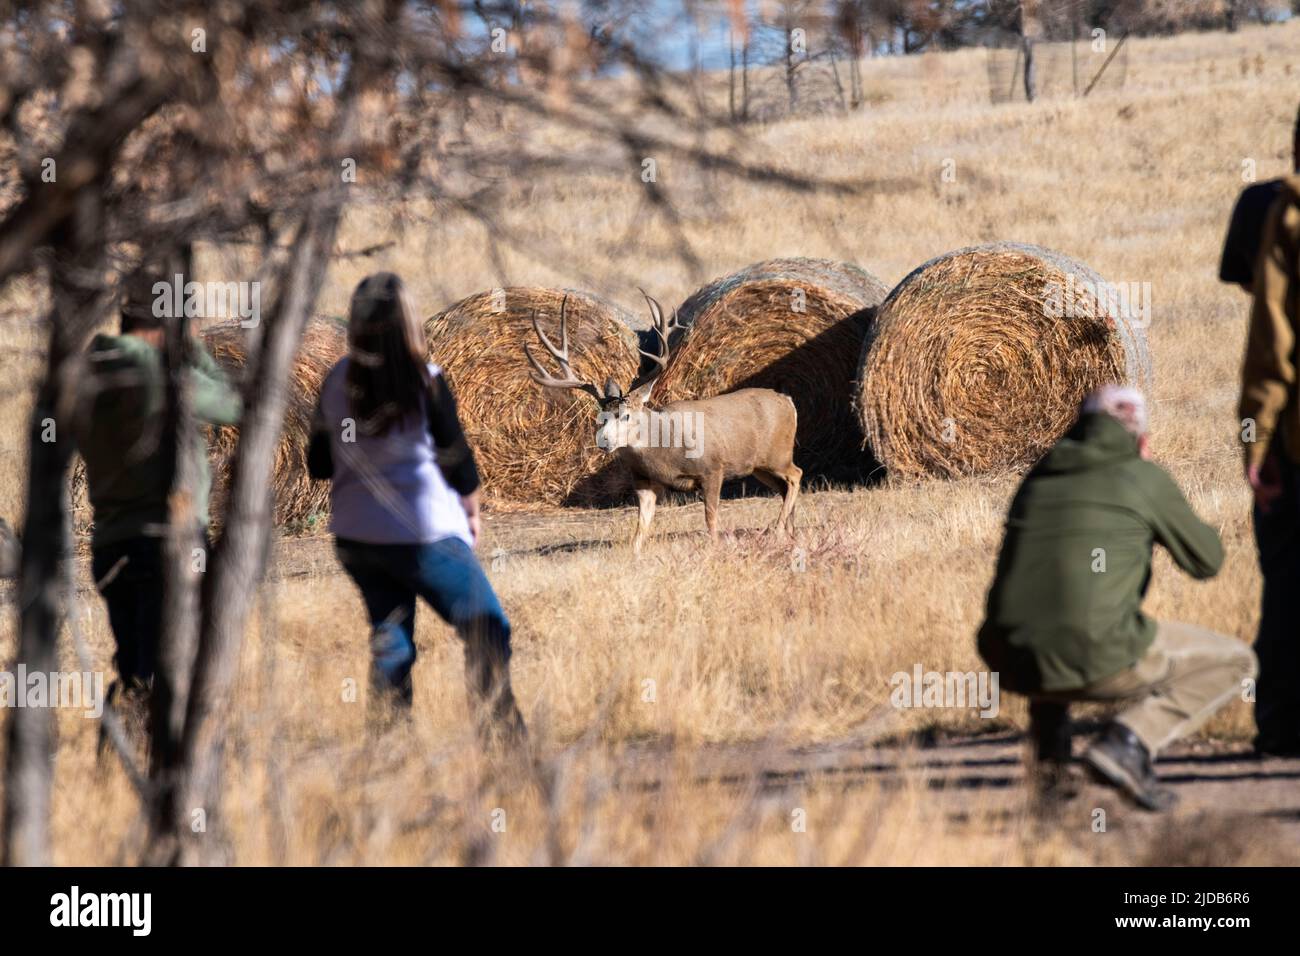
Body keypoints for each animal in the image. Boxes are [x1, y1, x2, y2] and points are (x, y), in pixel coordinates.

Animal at [524, 293, 801, 554]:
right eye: (600, 417)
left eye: (626, 415)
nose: (604, 441)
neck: (664, 448)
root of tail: (787, 400)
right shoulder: (644, 481)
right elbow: (641, 529)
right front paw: (635, 555)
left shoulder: (713, 468)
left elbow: (710, 519)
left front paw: (715, 547)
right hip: (760, 466)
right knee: (784, 487)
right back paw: (790, 533)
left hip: (778, 455)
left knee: (795, 475)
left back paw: (777, 531)